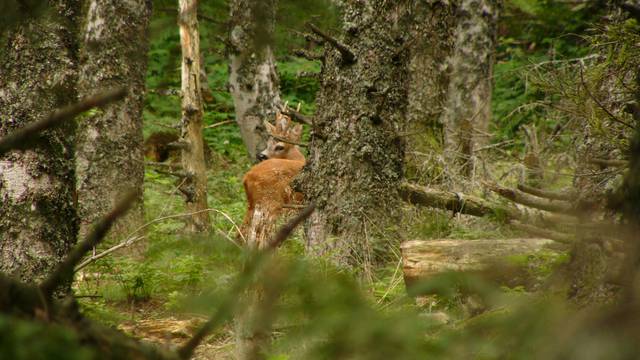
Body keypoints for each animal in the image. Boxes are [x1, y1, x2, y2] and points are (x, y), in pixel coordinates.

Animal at [242, 112, 308, 248]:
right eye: (268, 143)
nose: (261, 155)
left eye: (280, 146)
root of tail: (247, 177)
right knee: (262, 235)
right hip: (271, 202)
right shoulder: (296, 205)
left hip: (252, 205)